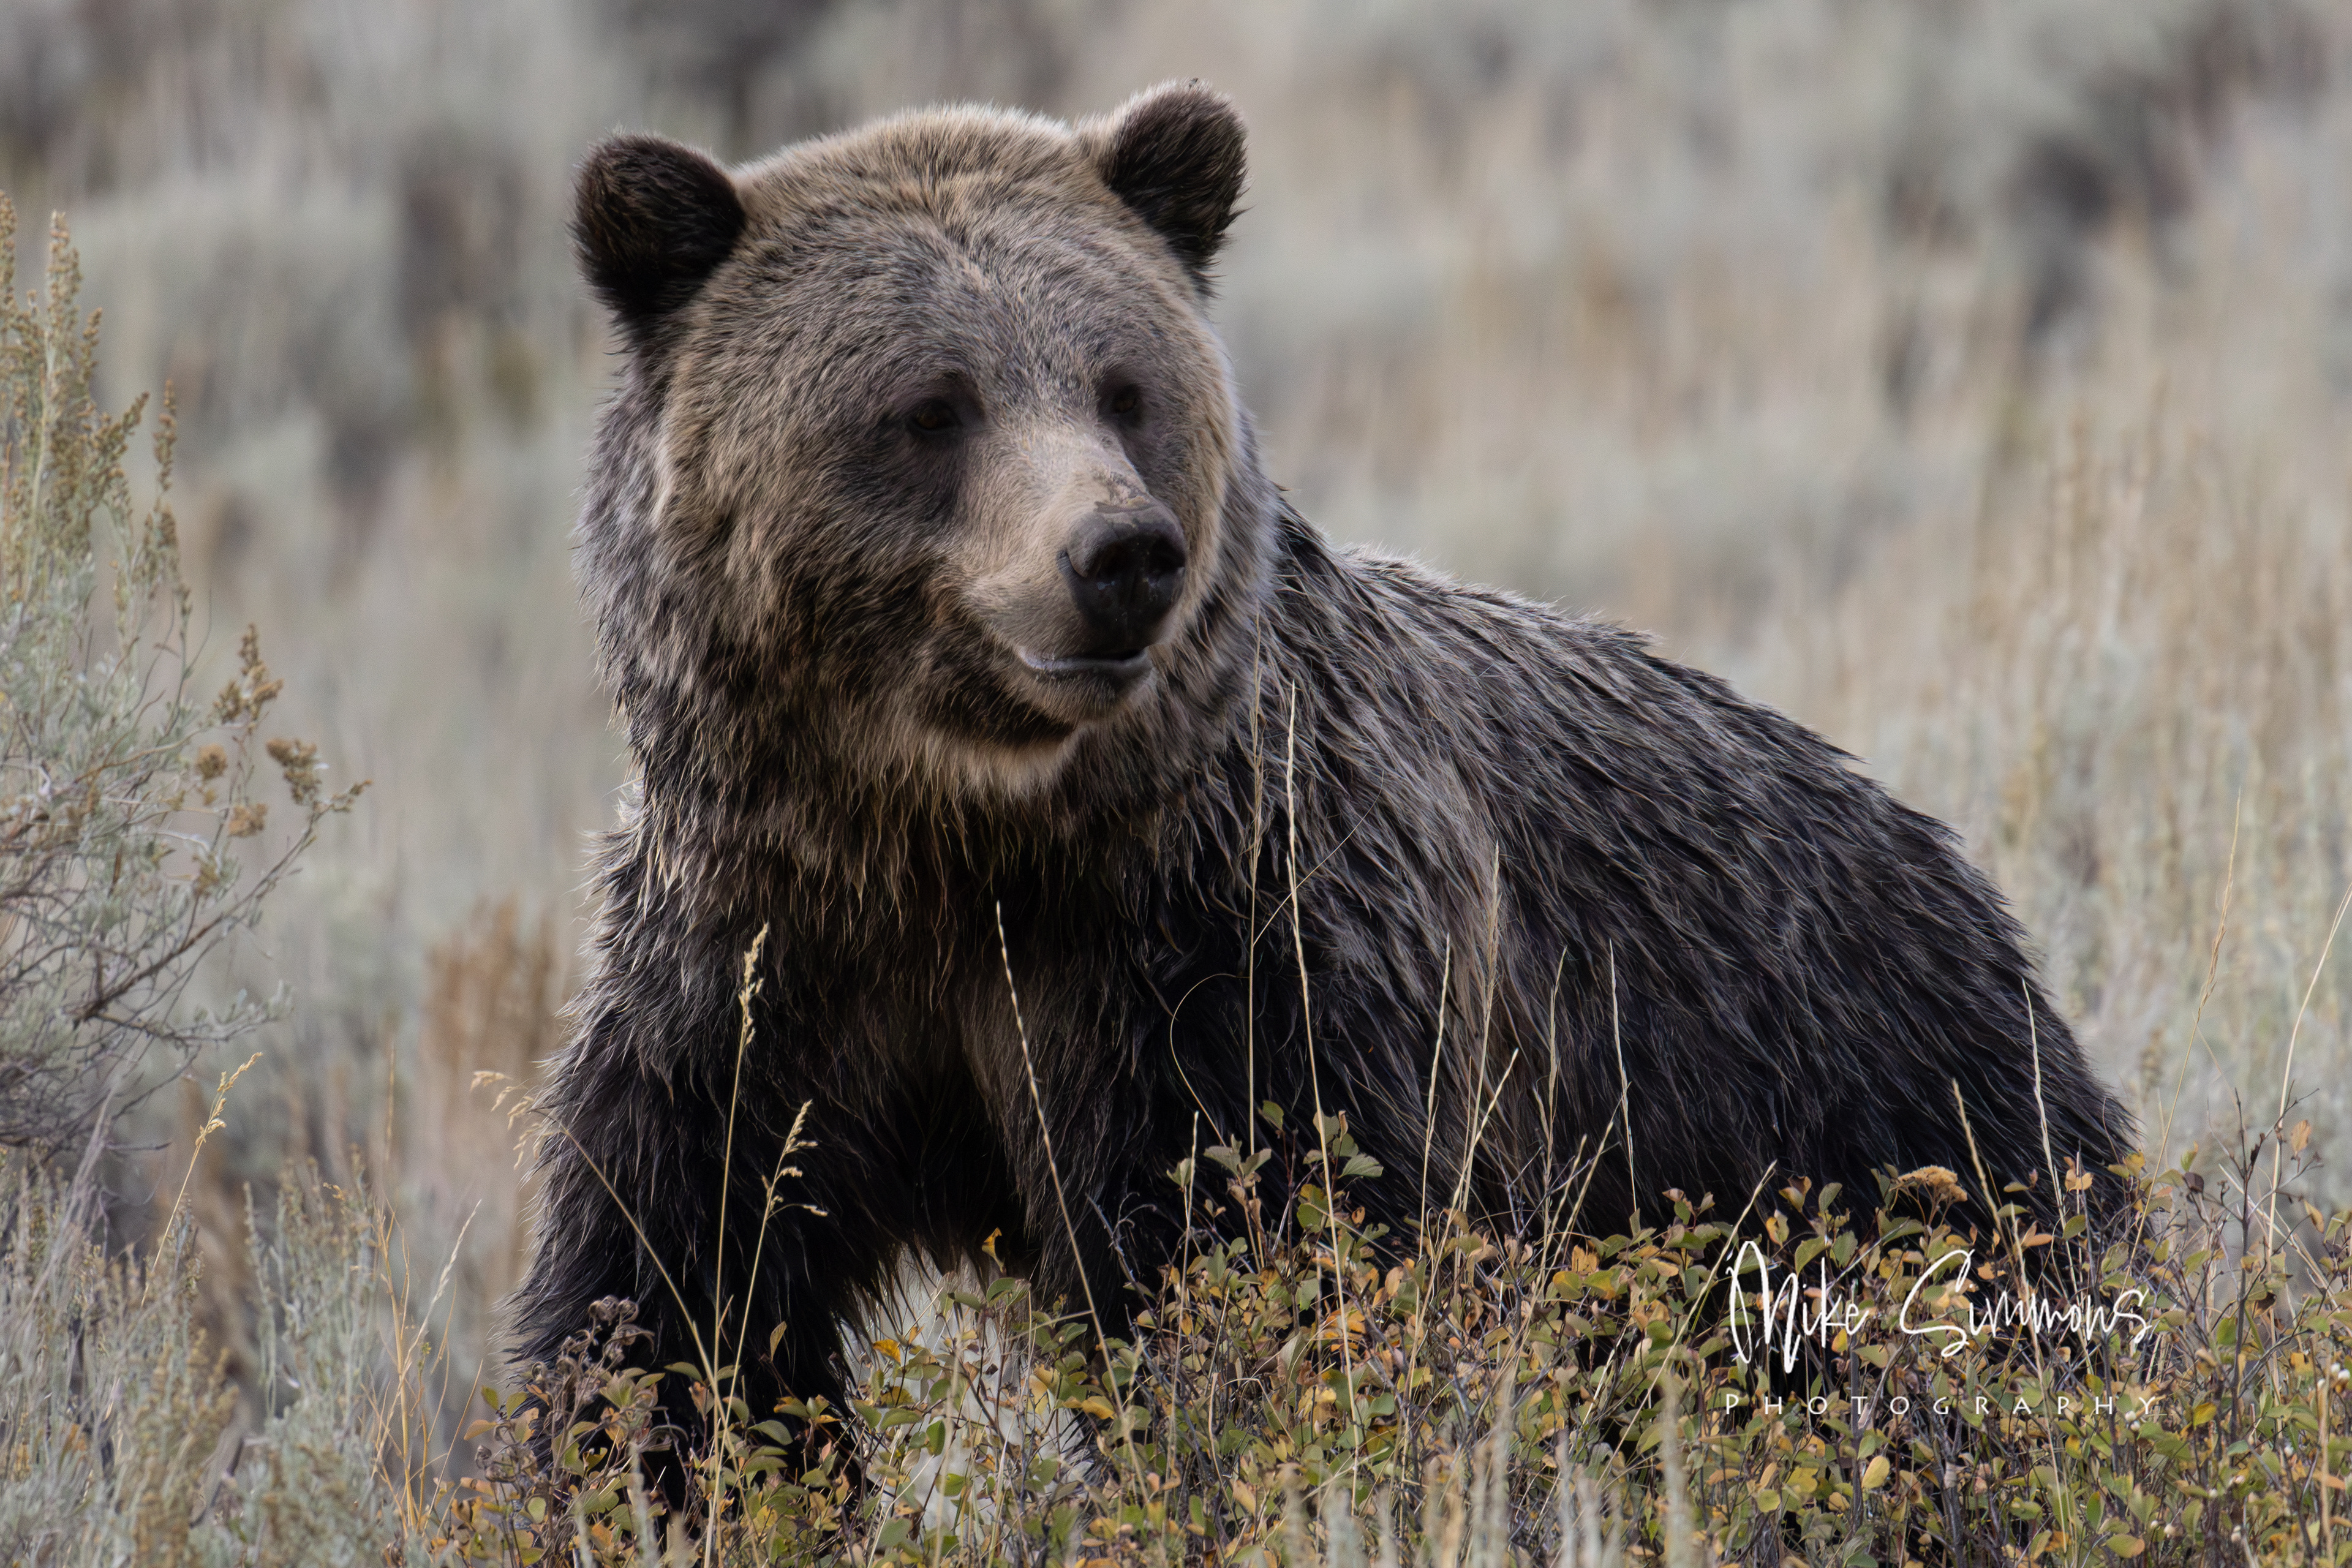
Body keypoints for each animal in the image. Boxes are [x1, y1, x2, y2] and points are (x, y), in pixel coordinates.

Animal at [513, 81, 2133, 1472]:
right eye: (930, 404)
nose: (1118, 554)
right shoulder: (756, 976)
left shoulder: (1245, 959)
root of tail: (1958, 873)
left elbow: (1280, 1266)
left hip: (1877, 1125)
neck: (969, 838)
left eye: (1121, 385)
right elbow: (674, 1314)